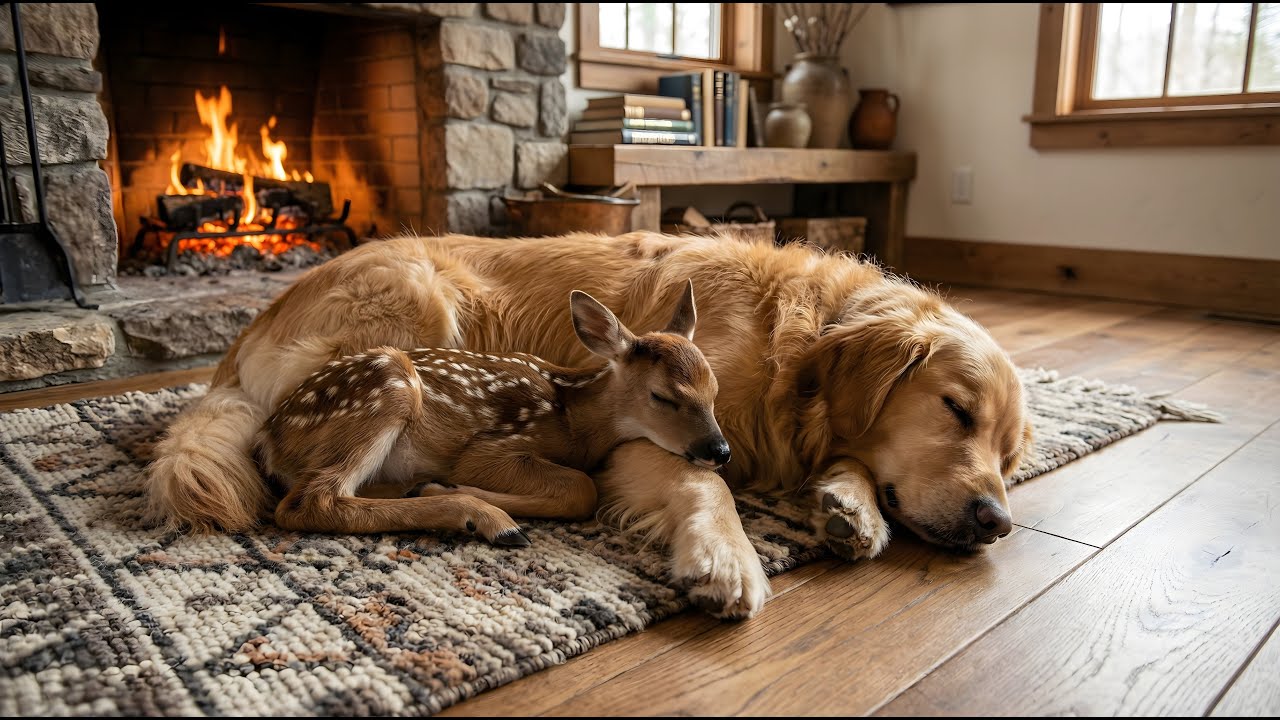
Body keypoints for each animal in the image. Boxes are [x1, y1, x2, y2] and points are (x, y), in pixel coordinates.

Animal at [255, 280, 730, 546]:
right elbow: (582, 488)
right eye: (662, 396)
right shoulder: (495, 445)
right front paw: (467, 494)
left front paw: (435, 486)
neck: (573, 417)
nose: (719, 450)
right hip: (387, 388)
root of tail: (269, 438)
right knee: (312, 500)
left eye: (714, 392)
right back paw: (488, 519)